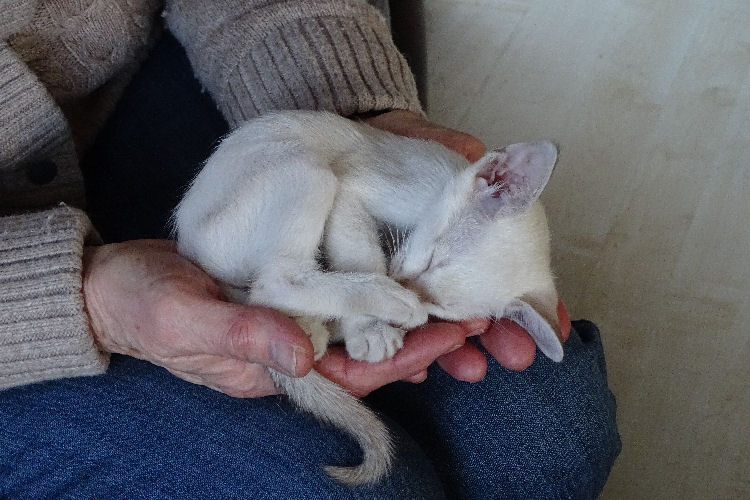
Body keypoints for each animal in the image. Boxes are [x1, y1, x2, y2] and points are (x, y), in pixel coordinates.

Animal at [173, 110, 563, 485]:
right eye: (432, 260)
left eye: (442, 306)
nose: (402, 283)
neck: (433, 190)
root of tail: (190, 245)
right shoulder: (356, 185)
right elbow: (361, 252)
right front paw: (371, 326)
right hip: (305, 173)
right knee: (273, 281)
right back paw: (377, 301)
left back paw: (313, 327)